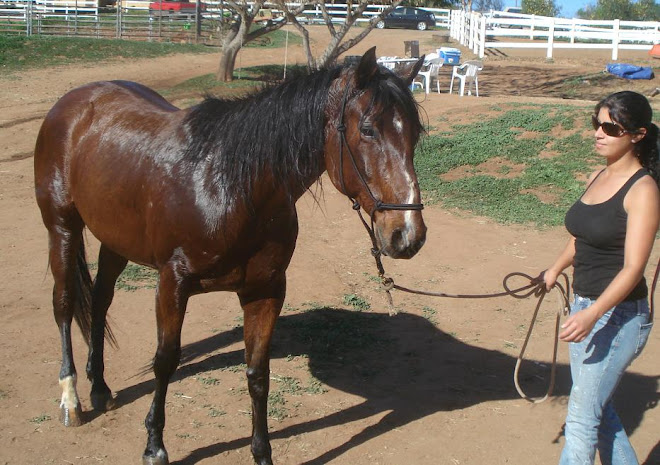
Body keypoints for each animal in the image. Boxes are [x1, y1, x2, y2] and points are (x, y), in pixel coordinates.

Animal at [34, 46, 428, 464]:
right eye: (368, 129)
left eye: (415, 134)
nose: (408, 234)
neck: (230, 186)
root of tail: (76, 100)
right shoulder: (171, 285)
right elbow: (164, 361)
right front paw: (154, 444)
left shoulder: (265, 290)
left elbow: (257, 372)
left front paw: (262, 452)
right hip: (62, 227)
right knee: (64, 304)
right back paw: (71, 399)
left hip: (115, 240)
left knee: (100, 301)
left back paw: (99, 388)